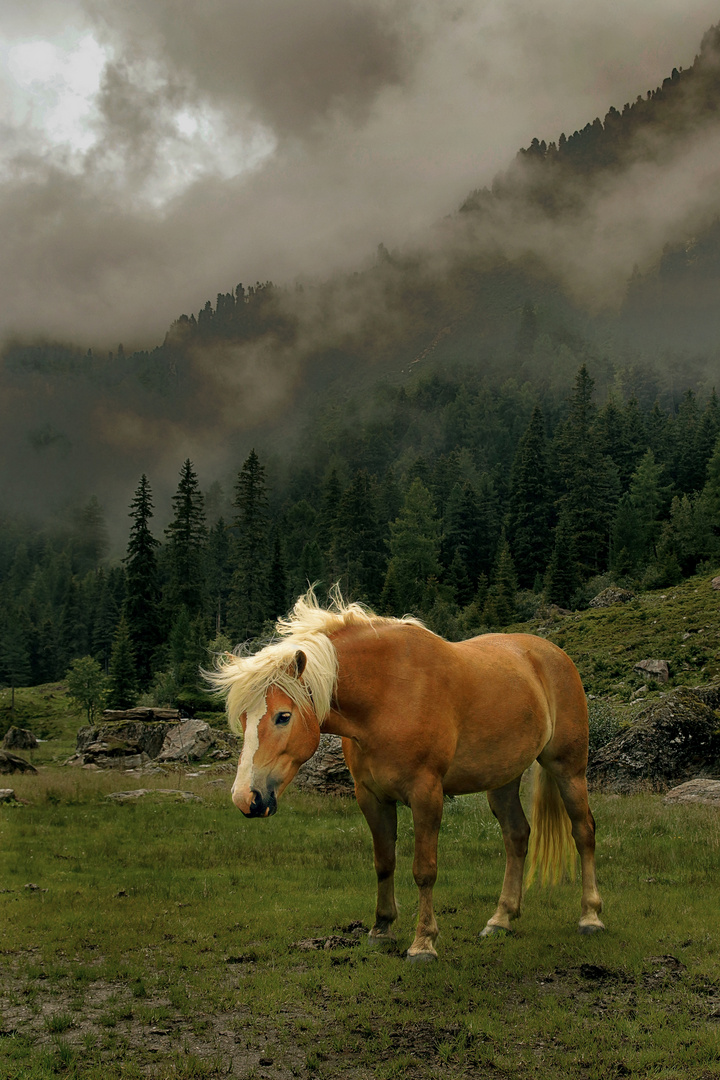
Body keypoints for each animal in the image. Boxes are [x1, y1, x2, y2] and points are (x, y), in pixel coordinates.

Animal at [205, 591, 604, 963]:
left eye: (283, 716)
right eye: (243, 718)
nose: (246, 797)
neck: (388, 694)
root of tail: (552, 654)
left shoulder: (426, 794)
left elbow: (424, 869)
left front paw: (423, 943)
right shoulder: (371, 796)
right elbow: (384, 862)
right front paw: (381, 929)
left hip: (568, 769)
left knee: (583, 830)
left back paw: (590, 918)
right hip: (503, 779)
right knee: (517, 836)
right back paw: (500, 920)